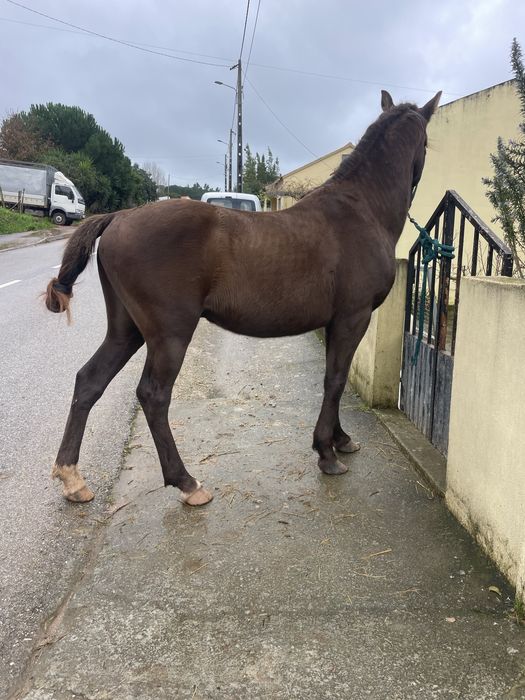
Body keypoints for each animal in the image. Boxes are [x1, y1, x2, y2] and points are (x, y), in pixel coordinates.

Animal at [44, 89, 441, 506]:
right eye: (426, 143)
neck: (360, 209)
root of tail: (119, 217)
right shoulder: (353, 317)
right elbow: (335, 380)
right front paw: (327, 453)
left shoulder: (338, 323)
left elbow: (337, 376)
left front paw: (340, 439)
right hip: (169, 335)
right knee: (153, 395)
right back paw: (187, 482)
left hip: (126, 331)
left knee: (89, 381)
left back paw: (72, 478)